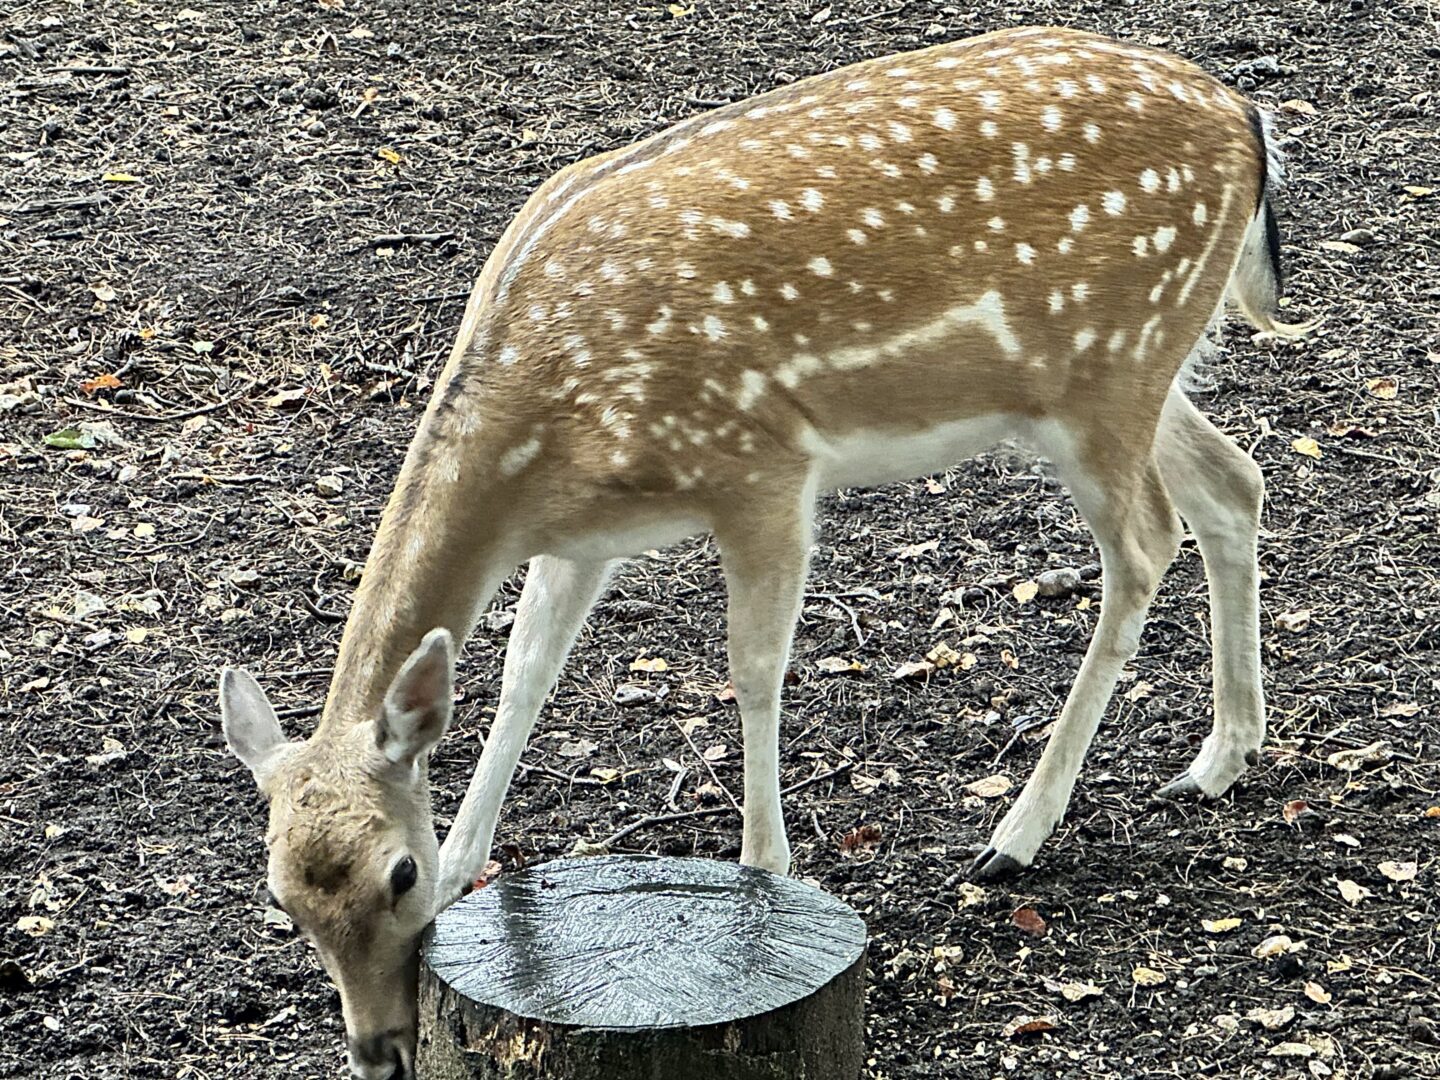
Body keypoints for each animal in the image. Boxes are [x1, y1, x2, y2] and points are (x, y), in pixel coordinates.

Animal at [216, 25, 1307, 1080]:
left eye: (394, 873)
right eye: (282, 898)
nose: (380, 1050)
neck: (543, 439)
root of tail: (1248, 123)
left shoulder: (762, 468)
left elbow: (752, 669)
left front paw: (763, 873)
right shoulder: (582, 537)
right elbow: (529, 669)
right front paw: (470, 862)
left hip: (1108, 368)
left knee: (1147, 542)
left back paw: (1017, 837)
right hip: (1132, 373)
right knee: (1235, 482)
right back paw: (1219, 759)